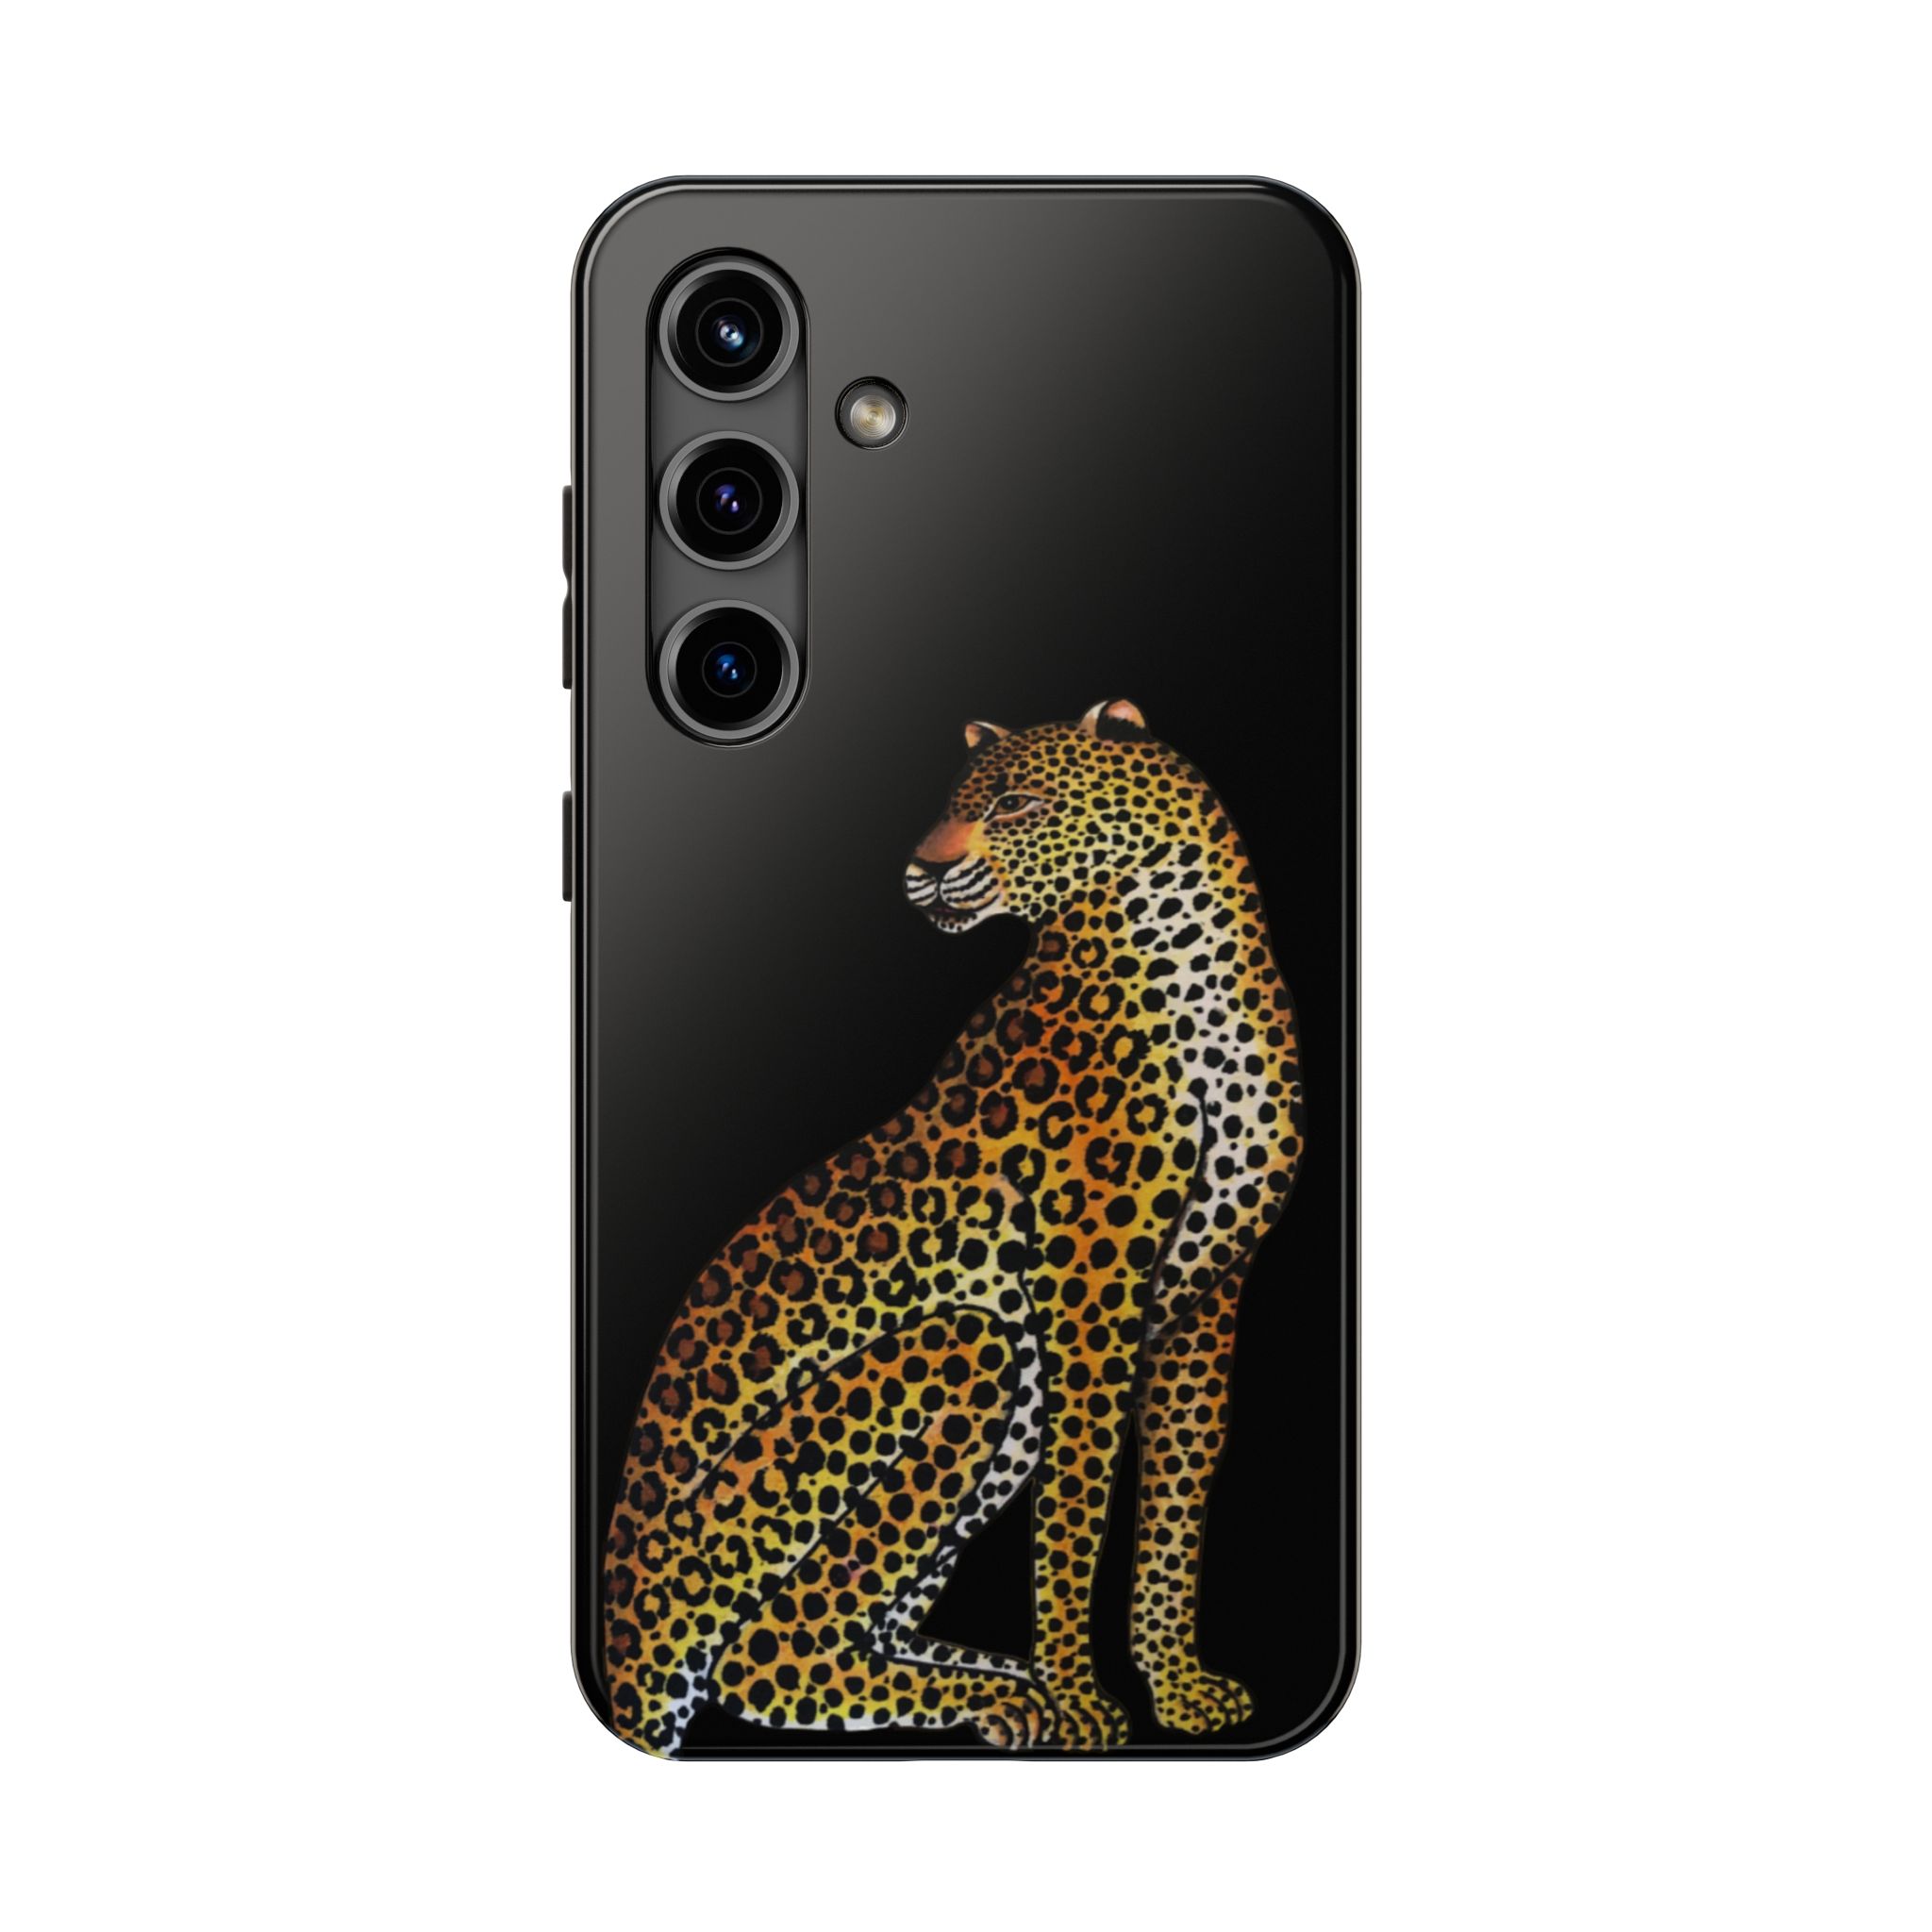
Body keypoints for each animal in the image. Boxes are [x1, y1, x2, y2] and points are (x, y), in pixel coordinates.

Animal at [602, 698, 1305, 1755]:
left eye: (1015, 803)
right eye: (949, 805)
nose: (920, 868)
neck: (1192, 955)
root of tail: (614, 1598)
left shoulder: (1204, 1300)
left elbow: (1176, 1504)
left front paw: (1176, 1687)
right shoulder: (1088, 1297)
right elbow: (1074, 1515)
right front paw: (1082, 1701)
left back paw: (992, 1678)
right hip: (965, 1354)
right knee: (768, 1644)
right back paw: (1007, 1695)